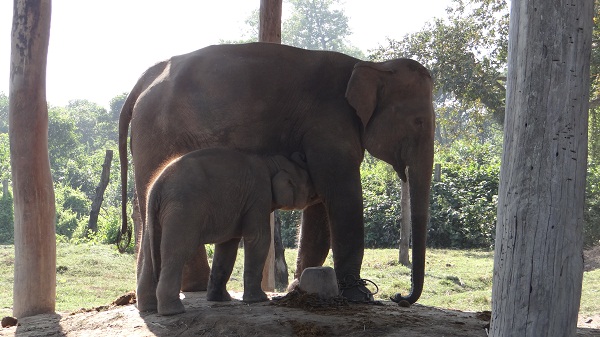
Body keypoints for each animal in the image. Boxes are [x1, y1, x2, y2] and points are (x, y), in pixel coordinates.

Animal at [134, 148, 316, 314]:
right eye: (309, 184)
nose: (302, 155)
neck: (271, 163)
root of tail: (158, 187)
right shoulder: (259, 195)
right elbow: (259, 238)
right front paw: (259, 300)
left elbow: (227, 245)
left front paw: (220, 299)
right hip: (182, 210)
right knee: (177, 253)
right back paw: (173, 311)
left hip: (155, 216)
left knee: (151, 255)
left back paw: (148, 308)